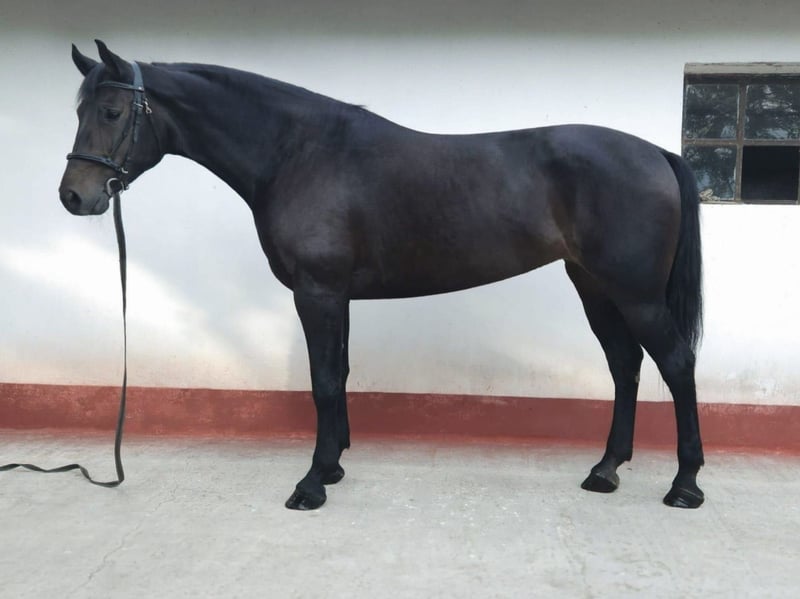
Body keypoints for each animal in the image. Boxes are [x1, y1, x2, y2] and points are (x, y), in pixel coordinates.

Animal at [59, 40, 704, 511]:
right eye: (78, 110)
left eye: (112, 112)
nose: (74, 196)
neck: (298, 153)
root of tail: (656, 153)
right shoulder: (338, 295)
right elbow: (339, 374)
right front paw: (334, 467)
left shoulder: (317, 292)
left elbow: (322, 381)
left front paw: (311, 484)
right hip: (594, 286)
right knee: (625, 365)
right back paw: (605, 470)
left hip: (636, 294)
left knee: (674, 364)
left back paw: (685, 485)